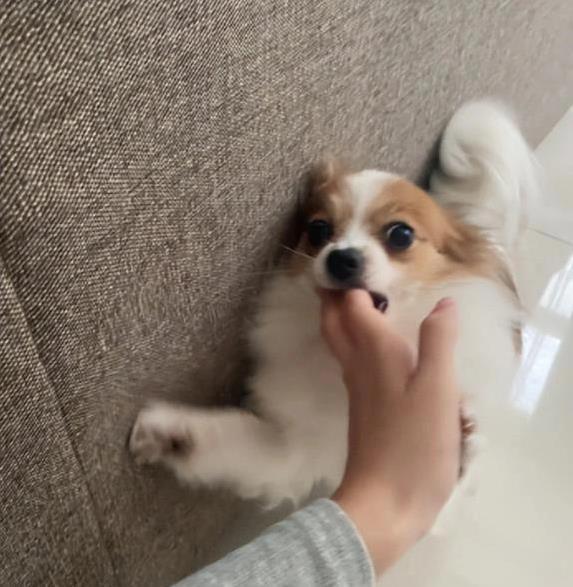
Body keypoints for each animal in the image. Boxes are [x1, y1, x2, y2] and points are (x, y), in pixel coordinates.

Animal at [130, 101, 537, 514]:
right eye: (319, 230)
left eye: (401, 234)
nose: (342, 258)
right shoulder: (296, 449)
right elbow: (235, 438)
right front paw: (173, 433)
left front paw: (462, 455)